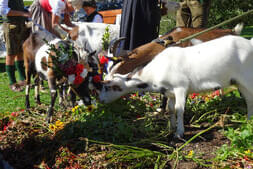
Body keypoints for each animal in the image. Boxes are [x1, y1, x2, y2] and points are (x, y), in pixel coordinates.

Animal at [100, 35, 253, 137]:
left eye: (109, 86)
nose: (100, 100)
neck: (157, 69)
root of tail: (250, 43)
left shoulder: (180, 88)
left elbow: (179, 109)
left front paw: (179, 133)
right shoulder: (170, 93)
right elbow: (170, 109)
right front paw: (171, 128)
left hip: (248, 79)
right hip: (240, 83)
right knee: (249, 100)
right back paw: (248, 121)